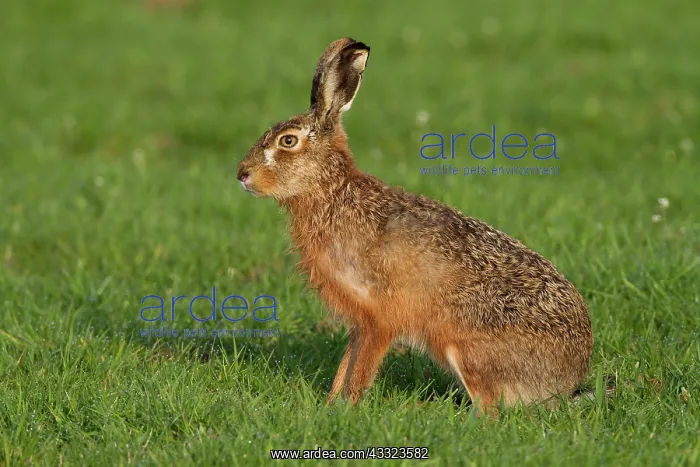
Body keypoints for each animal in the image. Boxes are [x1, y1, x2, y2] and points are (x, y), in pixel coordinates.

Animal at [236, 37, 593, 411]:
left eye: (288, 141)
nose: (242, 175)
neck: (333, 193)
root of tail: (566, 381)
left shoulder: (379, 316)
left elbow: (361, 368)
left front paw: (349, 407)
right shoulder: (359, 321)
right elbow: (347, 362)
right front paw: (331, 404)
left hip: (465, 344)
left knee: (489, 409)